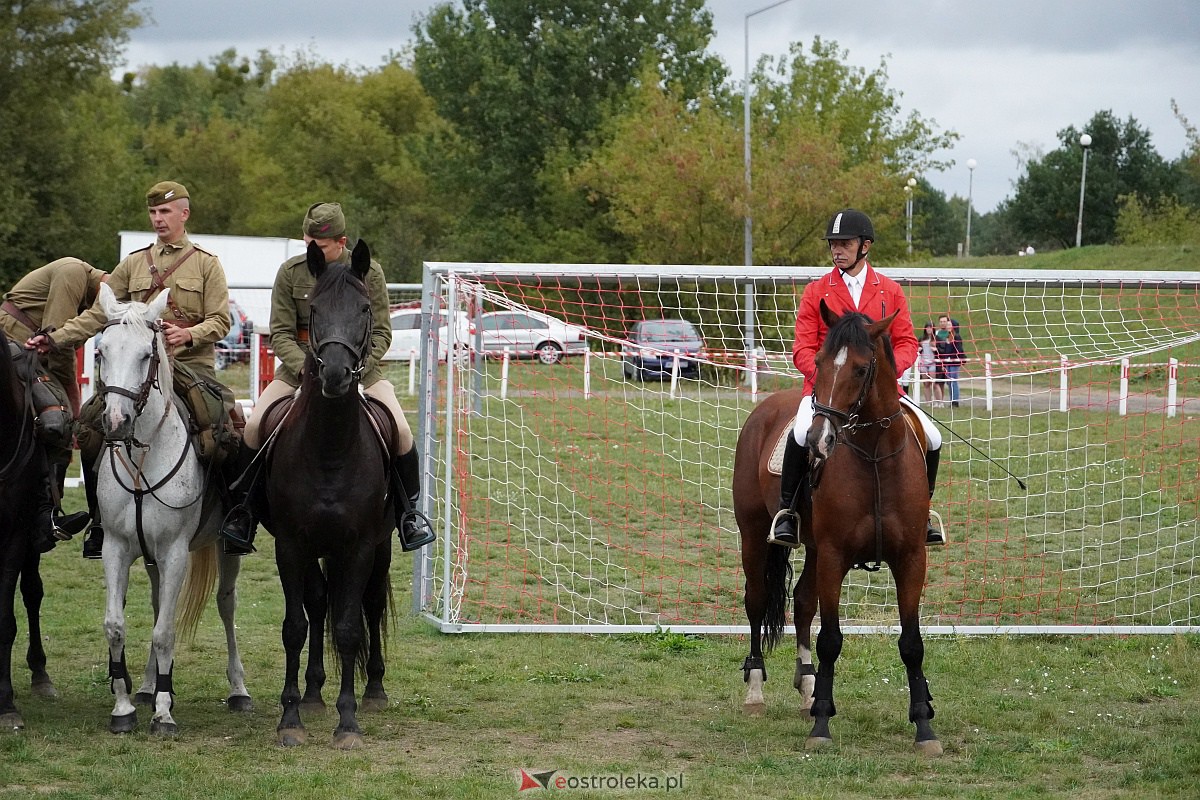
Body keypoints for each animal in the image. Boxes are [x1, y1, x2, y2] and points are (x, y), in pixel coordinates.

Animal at [94, 286, 252, 738]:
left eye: (147, 353)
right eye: (101, 351)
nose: (116, 420)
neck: (143, 456)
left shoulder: (176, 552)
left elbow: (165, 631)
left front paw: (164, 714)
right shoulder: (116, 548)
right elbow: (117, 625)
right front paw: (125, 707)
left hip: (226, 551)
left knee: (226, 605)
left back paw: (238, 690)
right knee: (154, 604)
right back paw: (149, 685)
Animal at [724, 303, 940, 753]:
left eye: (860, 369)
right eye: (820, 362)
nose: (819, 440)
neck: (874, 457)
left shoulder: (911, 558)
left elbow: (911, 644)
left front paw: (924, 726)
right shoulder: (836, 555)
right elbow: (831, 640)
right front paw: (822, 725)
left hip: (814, 549)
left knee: (804, 602)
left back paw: (807, 689)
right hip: (754, 534)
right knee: (756, 602)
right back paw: (756, 689)